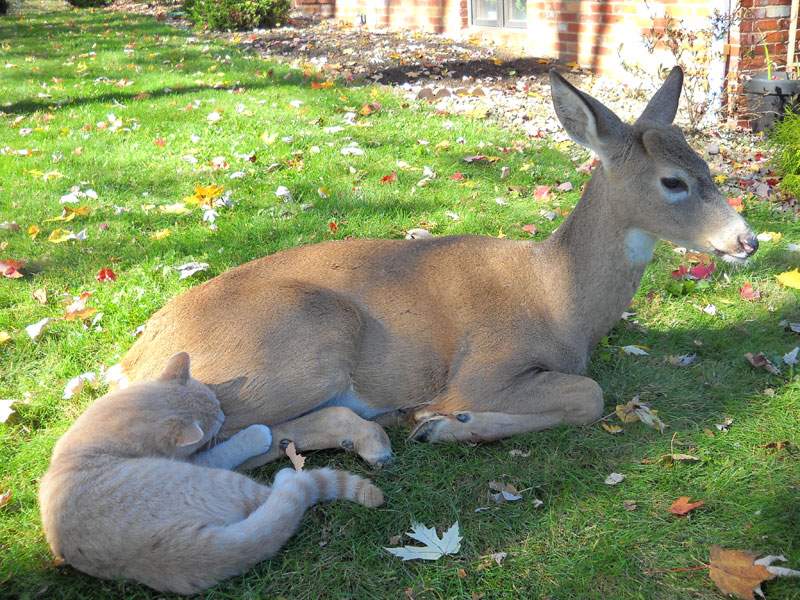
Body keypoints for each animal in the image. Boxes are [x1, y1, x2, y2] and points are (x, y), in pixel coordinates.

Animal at [39, 352, 384, 596]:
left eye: (217, 404)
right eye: (216, 420)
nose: (223, 415)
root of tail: (170, 553)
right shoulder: (202, 460)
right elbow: (228, 449)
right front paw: (257, 433)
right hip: (224, 483)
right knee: (283, 495)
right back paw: (287, 474)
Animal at [112, 67, 756, 468]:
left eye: (706, 165)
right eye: (672, 182)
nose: (747, 240)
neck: (559, 299)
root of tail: (132, 360)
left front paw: (436, 423)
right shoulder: (484, 366)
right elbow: (588, 395)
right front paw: (446, 423)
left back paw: (371, 436)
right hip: (303, 340)